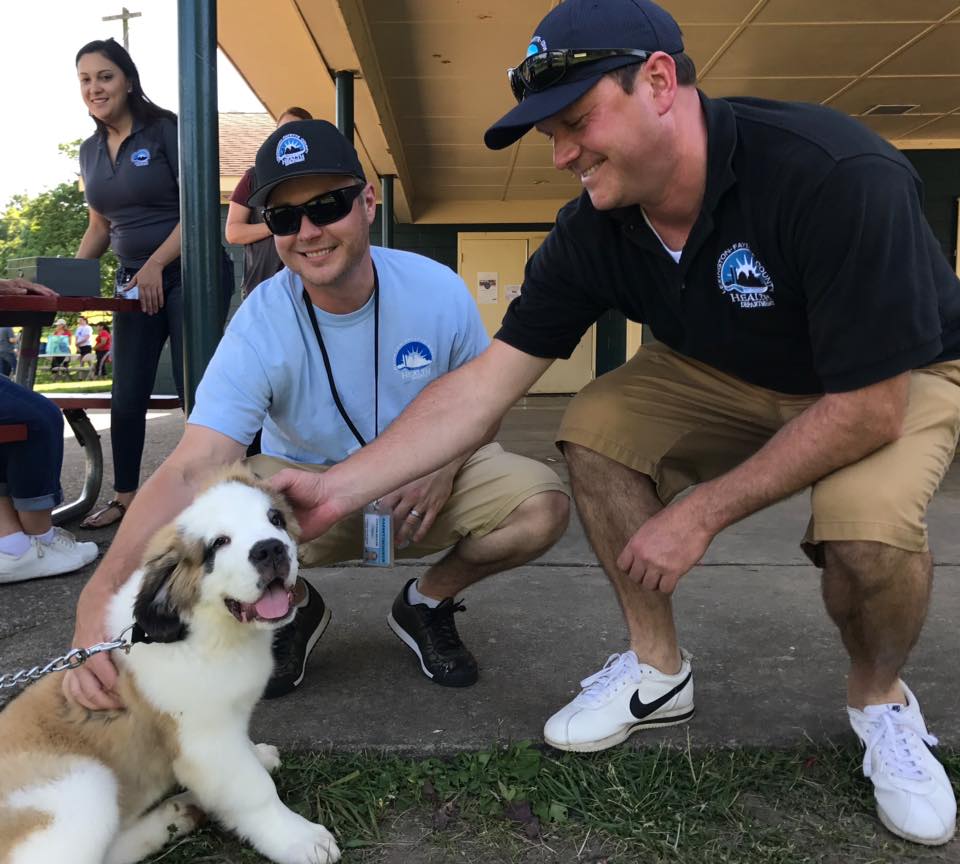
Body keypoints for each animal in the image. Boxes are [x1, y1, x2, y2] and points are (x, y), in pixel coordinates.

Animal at [0, 472, 342, 864]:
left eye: (276, 520)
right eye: (219, 543)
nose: (270, 549)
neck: (203, 630)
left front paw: (257, 755)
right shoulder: (206, 740)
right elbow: (254, 789)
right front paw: (297, 837)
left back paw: (179, 812)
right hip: (85, 785)